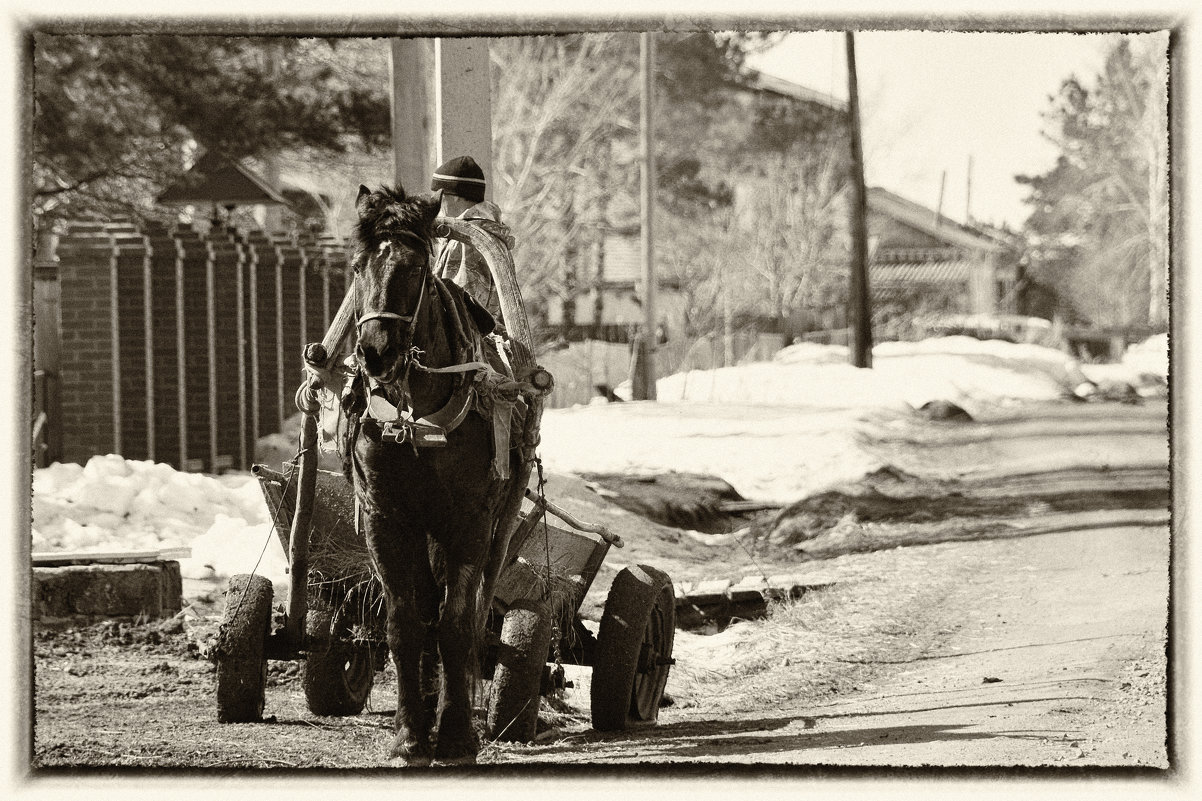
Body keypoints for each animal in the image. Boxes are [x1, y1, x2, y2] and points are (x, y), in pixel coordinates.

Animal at [346, 180, 519, 760]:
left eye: (417, 267)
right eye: (357, 266)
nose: (376, 352)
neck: (415, 419)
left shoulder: (468, 521)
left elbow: (458, 623)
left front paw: (459, 731)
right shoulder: (387, 519)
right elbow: (405, 621)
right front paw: (408, 733)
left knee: (462, 609)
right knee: (424, 606)